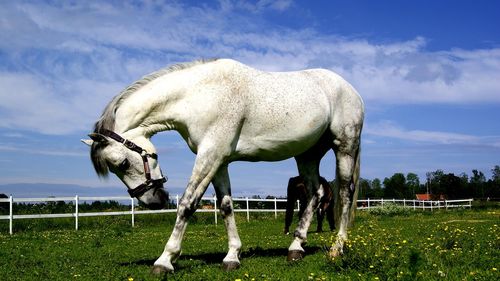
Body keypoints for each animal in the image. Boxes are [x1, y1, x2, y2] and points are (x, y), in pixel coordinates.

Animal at [81, 58, 364, 272]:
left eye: (123, 163)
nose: (154, 201)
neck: (199, 94)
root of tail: (352, 90)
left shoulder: (210, 155)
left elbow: (188, 204)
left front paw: (165, 260)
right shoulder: (219, 161)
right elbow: (226, 206)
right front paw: (232, 257)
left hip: (344, 148)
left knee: (344, 194)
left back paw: (337, 249)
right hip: (307, 155)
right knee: (315, 194)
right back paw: (296, 248)